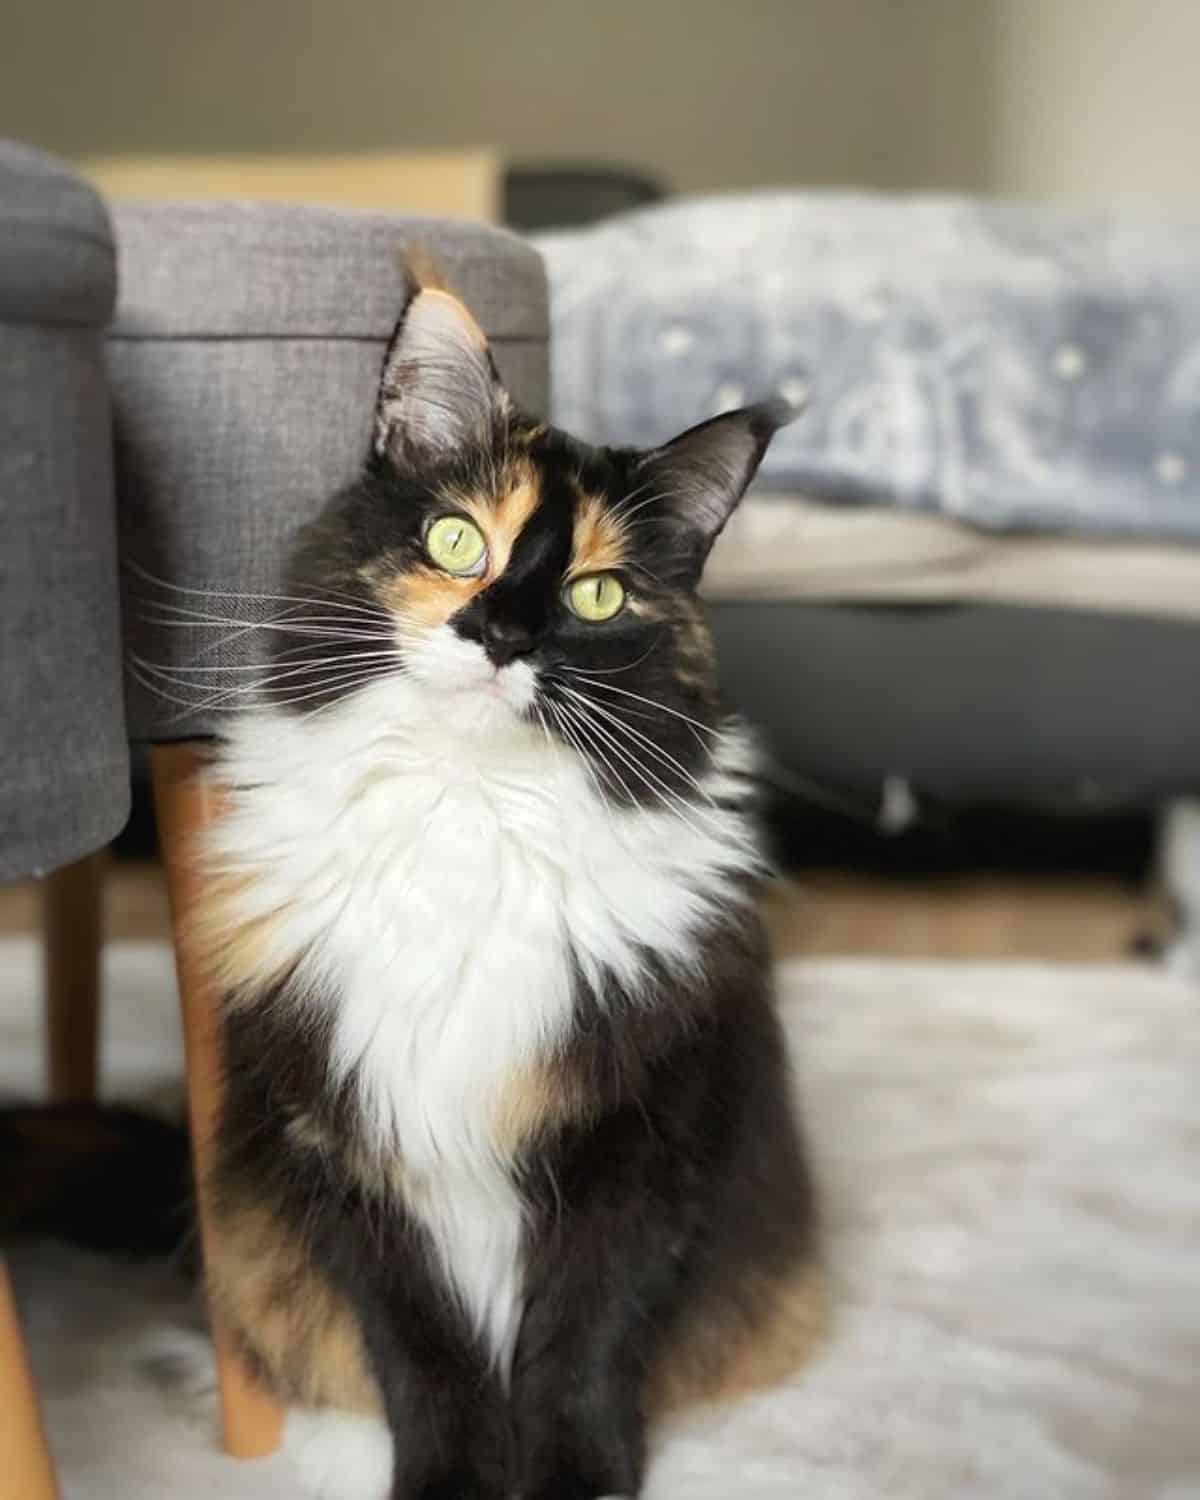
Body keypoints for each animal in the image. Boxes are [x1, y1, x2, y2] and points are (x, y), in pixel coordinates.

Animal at [189, 264, 828, 1494]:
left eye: (595, 597)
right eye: (454, 541)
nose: (499, 636)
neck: (465, 809)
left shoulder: (645, 1143)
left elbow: (582, 1350)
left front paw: (576, 1481)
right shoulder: (343, 1148)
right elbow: (429, 1362)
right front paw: (453, 1485)